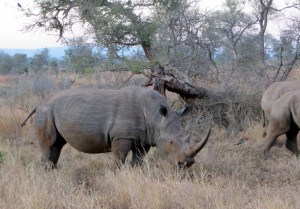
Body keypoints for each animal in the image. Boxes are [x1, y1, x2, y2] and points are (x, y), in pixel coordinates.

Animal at [21, 85, 210, 169]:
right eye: (171, 143)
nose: (186, 164)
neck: (156, 117)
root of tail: (40, 103)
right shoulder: (121, 136)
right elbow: (119, 160)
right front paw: (118, 175)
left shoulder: (145, 139)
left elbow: (138, 161)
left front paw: (135, 174)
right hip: (46, 112)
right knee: (49, 145)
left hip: (52, 112)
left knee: (57, 145)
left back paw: (51, 171)